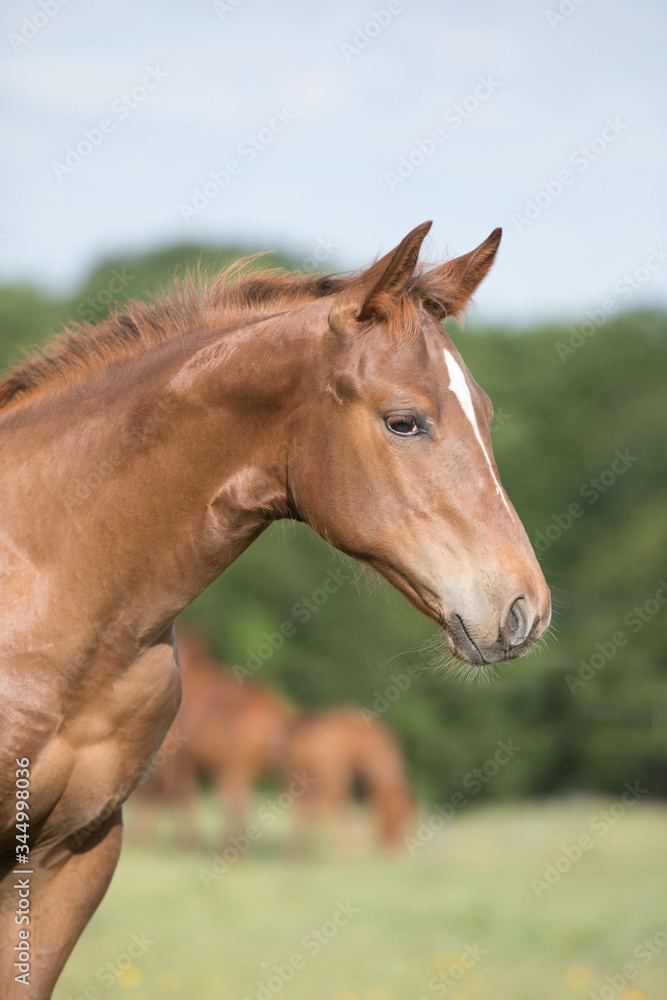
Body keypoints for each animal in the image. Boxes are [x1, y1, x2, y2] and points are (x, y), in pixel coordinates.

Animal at [286, 708, 412, 848]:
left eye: (404, 818)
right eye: (392, 815)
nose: (390, 844)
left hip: (307, 782)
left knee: (306, 810)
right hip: (330, 779)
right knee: (330, 808)